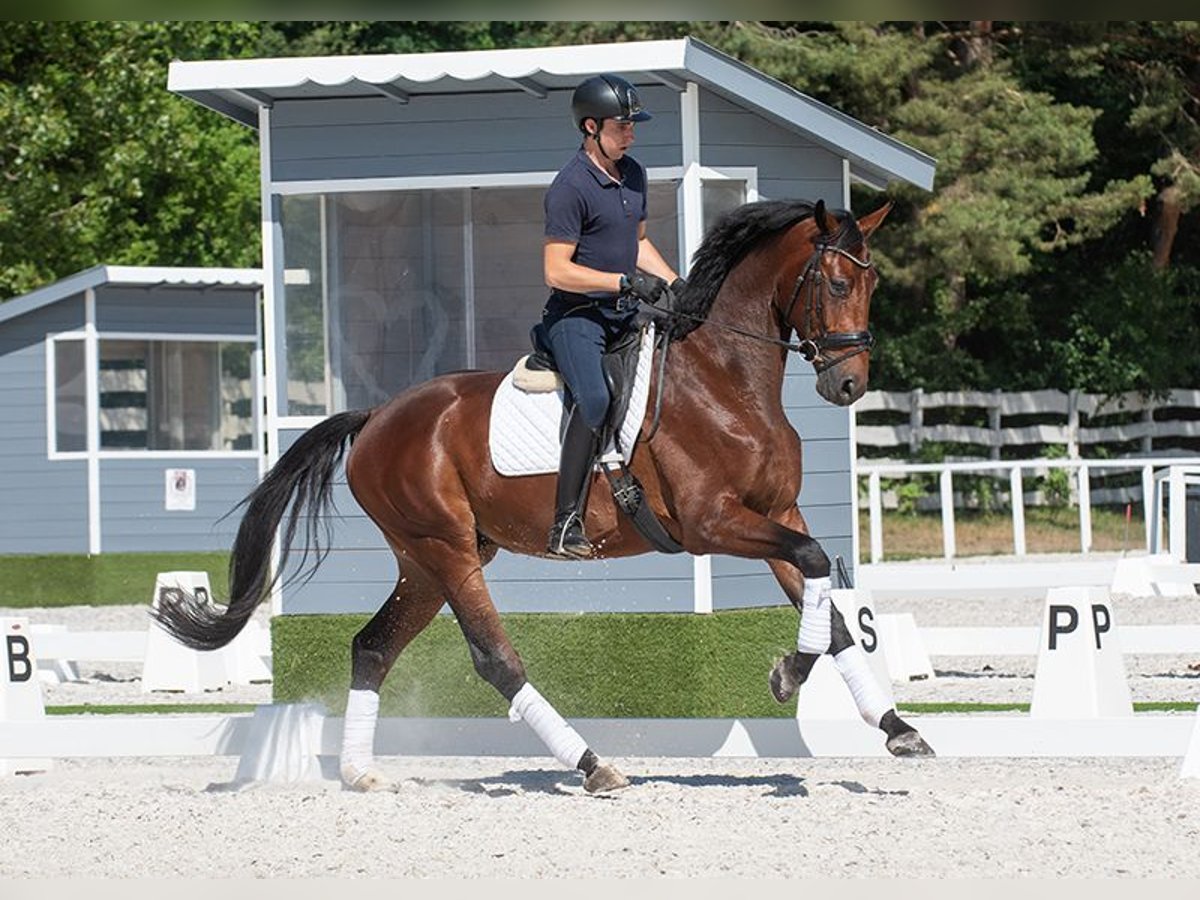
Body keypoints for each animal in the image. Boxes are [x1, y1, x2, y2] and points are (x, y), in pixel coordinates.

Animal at [152, 199, 936, 796]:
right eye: (833, 282)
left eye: (869, 286)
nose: (848, 385)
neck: (726, 380)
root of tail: (375, 417)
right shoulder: (712, 523)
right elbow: (815, 566)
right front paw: (786, 674)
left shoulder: (774, 514)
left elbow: (831, 610)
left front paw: (897, 729)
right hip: (446, 549)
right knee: (495, 660)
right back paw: (592, 765)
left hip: (429, 560)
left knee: (372, 648)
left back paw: (359, 773)